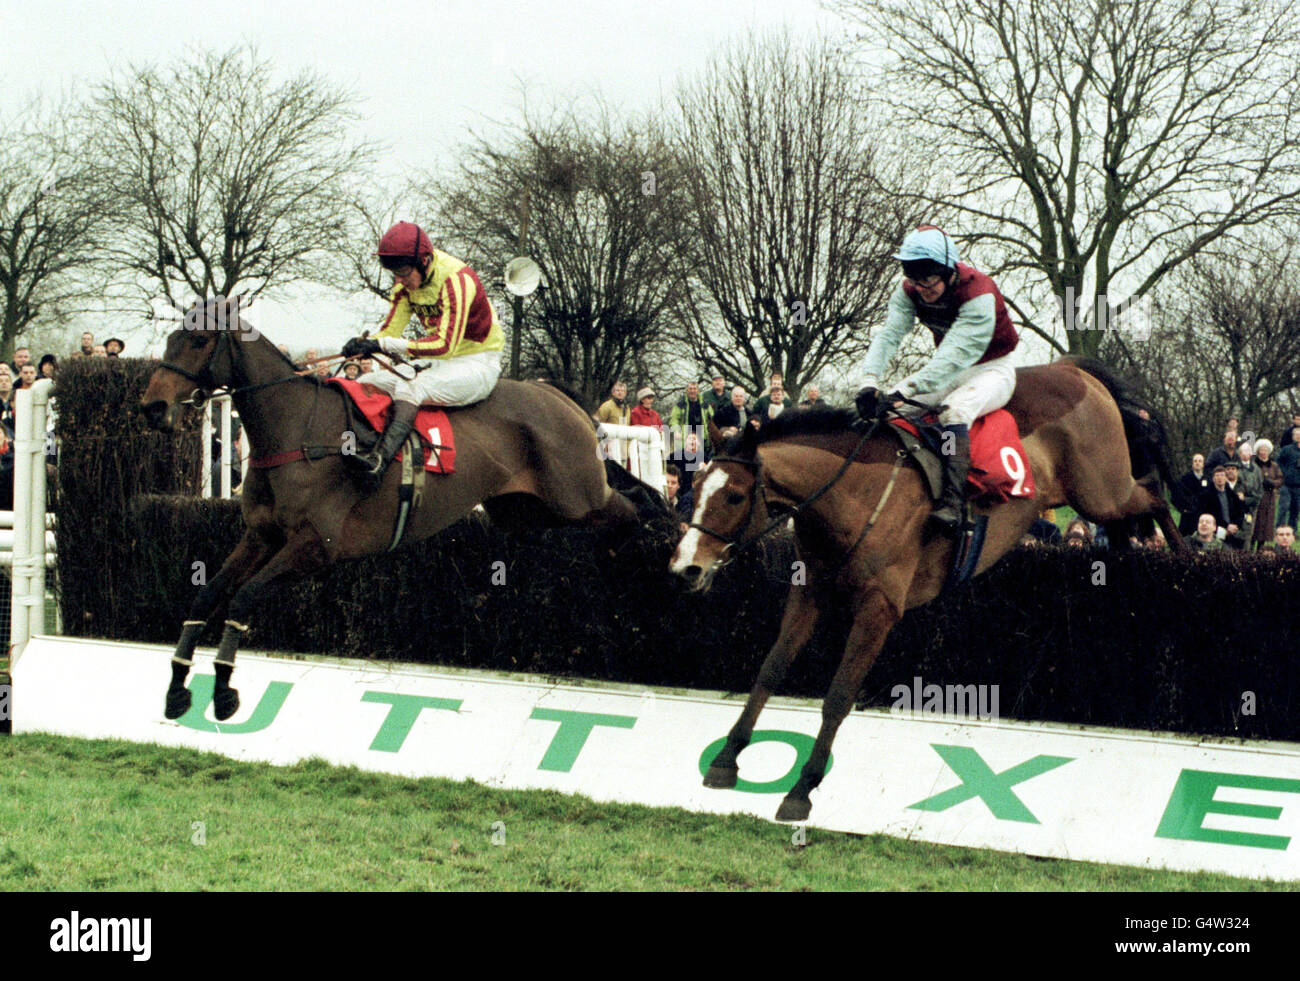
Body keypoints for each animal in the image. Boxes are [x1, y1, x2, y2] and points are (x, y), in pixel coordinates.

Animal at [139, 298, 637, 722]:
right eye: (171, 337)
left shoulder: (316, 546)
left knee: (633, 507)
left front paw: (224, 690)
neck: (295, 431)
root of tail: (555, 394)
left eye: (199, 340)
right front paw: (178, 684)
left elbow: (243, 597)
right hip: (523, 511)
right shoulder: (261, 535)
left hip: (578, 496)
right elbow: (207, 593)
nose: (152, 407)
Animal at [676, 356, 1185, 826]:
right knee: (1130, 522)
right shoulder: (810, 593)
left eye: (734, 496)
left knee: (1154, 493)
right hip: (1096, 497)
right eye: (695, 487)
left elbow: (839, 695)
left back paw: (1183, 561)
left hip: (1101, 489)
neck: (853, 495)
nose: (685, 567)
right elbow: (770, 669)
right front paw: (726, 759)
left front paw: (802, 789)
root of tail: (1072, 368)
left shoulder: (879, 609)